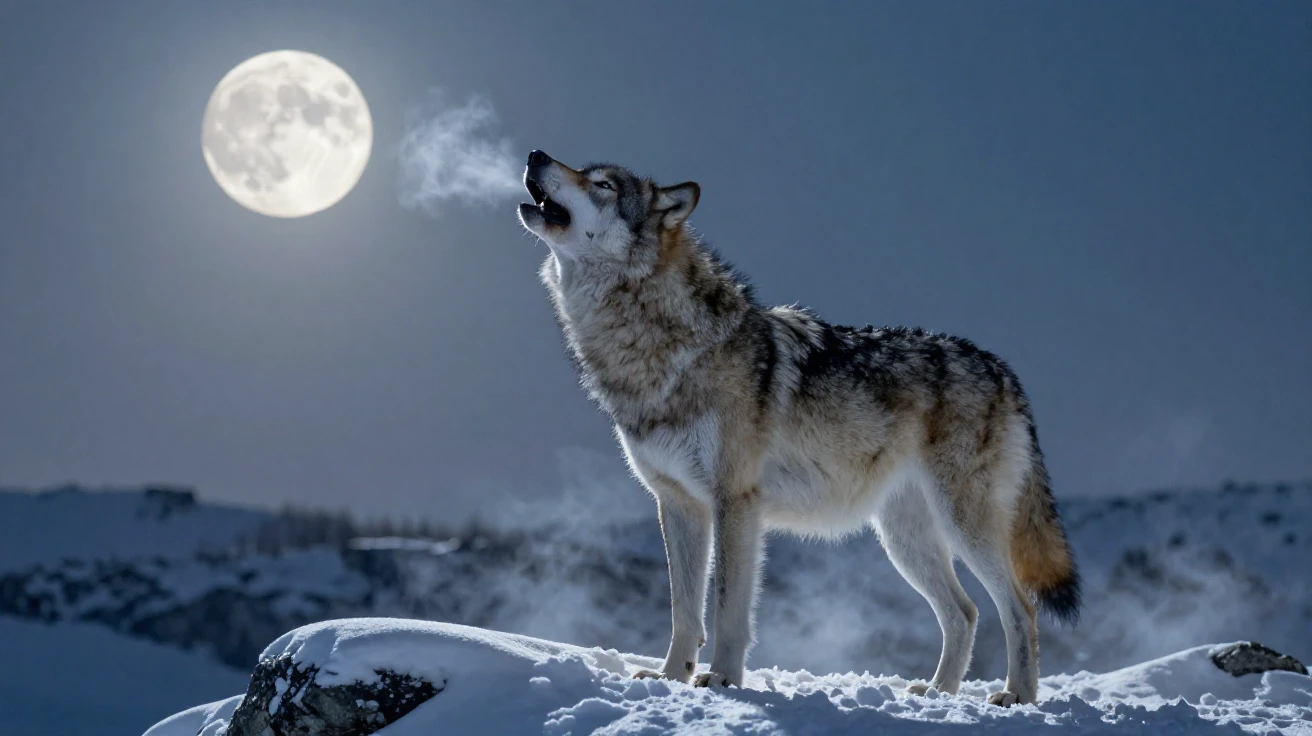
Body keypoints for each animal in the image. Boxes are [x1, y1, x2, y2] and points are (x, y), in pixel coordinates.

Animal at [517, 150, 1080, 706]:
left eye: (603, 185)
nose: (535, 154)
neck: (660, 345)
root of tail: (1001, 370)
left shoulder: (735, 501)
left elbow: (727, 607)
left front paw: (722, 679)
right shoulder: (678, 504)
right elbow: (683, 611)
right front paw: (672, 678)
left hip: (963, 524)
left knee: (1020, 608)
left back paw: (1017, 696)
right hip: (904, 540)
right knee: (964, 612)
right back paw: (937, 693)